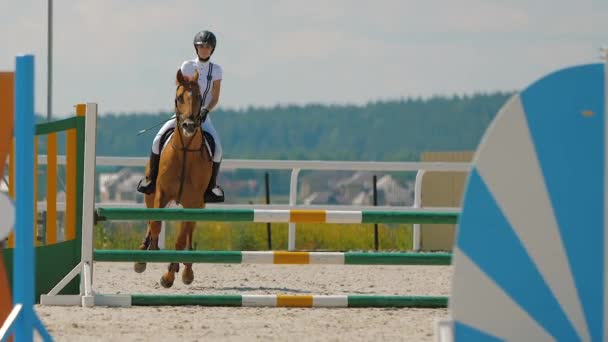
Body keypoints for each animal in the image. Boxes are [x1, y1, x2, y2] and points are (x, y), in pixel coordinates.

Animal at [134, 68, 213, 288]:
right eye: (179, 98)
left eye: (199, 97)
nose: (189, 125)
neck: (185, 150)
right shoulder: (161, 192)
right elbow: (155, 224)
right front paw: (151, 251)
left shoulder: (193, 203)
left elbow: (181, 238)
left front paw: (169, 275)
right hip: (150, 194)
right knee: (150, 219)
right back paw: (143, 254)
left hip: (198, 205)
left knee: (189, 234)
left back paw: (185, 269)